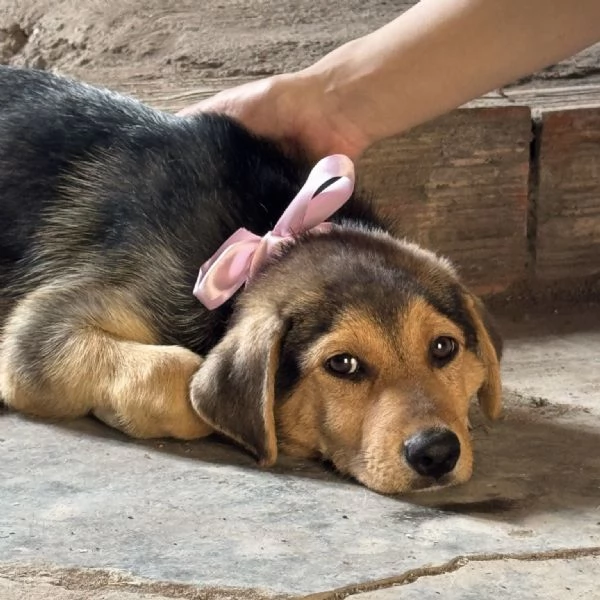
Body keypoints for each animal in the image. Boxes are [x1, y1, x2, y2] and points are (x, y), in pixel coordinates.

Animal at [0, 68, 502, 494]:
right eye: (342, 365)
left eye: (444, 348)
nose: (436, 453)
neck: (268, 230)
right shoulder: (39, 332)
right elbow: (180, 376)